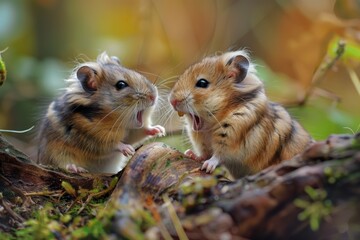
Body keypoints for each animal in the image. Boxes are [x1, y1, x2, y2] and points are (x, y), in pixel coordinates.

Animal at [36, 52, 166, 172]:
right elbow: (114, 144)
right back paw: (74, 167)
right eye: (121, 84)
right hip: (56, 153)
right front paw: (129, 150)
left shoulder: (132, 133)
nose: (153, 96)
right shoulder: (96, 138)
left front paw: (160, 130)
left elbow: (142, 132)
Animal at [169, 50, 312, 178]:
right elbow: (204, 154)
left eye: (202, 83)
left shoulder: (230, 137)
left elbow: (217, 156)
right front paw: (189, 153)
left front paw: (207, 166)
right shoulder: (202, 143)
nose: (172, 101)